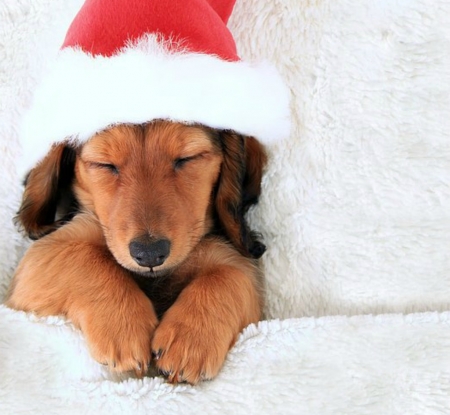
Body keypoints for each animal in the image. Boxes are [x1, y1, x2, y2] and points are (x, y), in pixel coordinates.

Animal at [5, 120, 268, 386]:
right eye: (105, 164)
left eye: (187, 158)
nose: (150, 254)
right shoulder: (42, 255)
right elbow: (85, 255)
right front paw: (124, 326)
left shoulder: (228, 257)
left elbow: (229, 275)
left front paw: (189, 341)